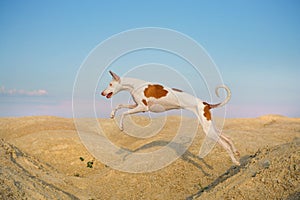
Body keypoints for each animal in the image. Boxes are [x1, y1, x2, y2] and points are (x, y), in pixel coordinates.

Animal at [102, 71, 240, 165]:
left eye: (110, 84)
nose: (102, 93)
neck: (135, 85)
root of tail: (206, 104)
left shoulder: (142, 107)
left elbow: (124, 113)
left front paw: (121, 126)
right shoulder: (138, 106)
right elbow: (120, 105)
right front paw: (112, 114)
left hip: (208, 130)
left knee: (225, 145)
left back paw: (235, 161)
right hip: (210, 126)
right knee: (228, 137)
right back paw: (236, 151)